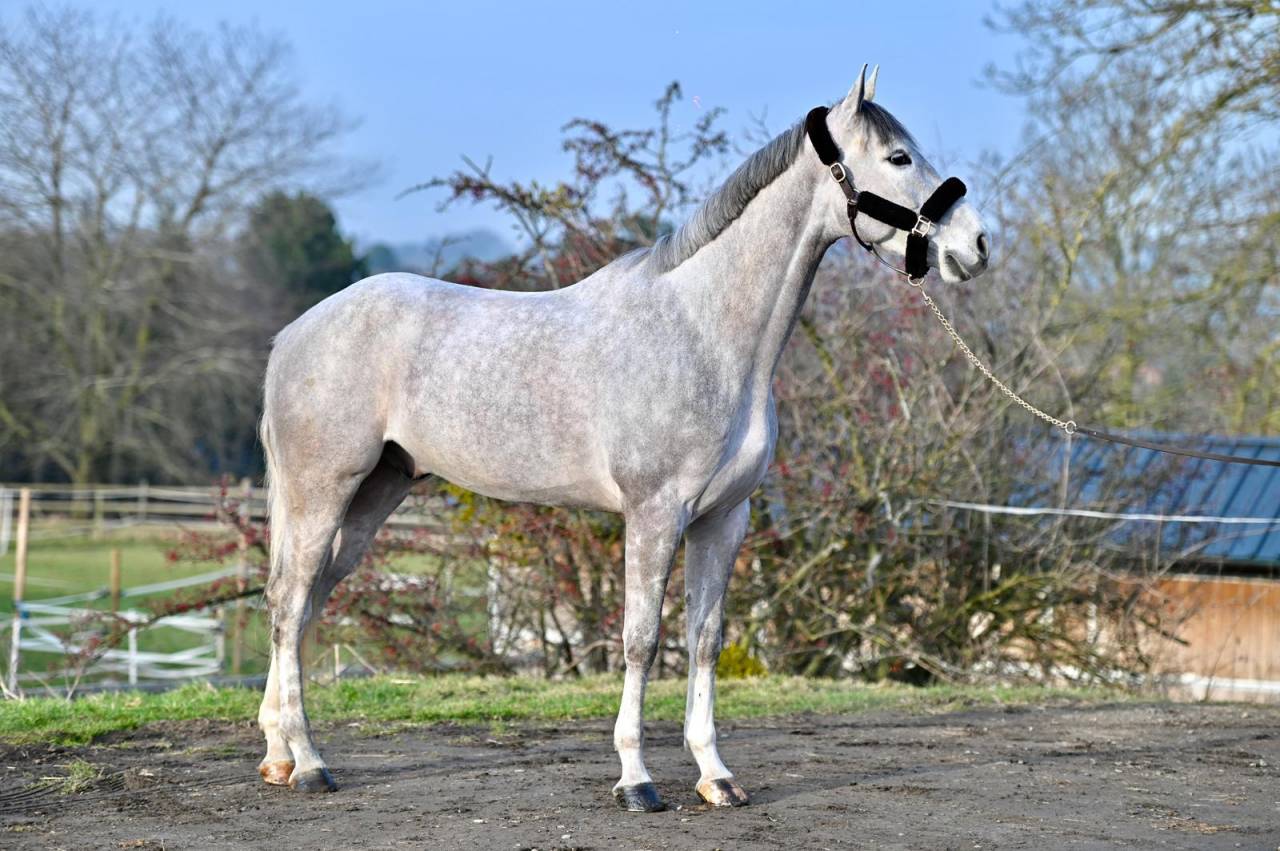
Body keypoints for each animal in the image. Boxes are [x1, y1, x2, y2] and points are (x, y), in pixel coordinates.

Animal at [255, 65, 990, 812]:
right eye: (897, 157)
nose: (975, 245)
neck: (704, 334)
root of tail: (295, 334)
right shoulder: (655, 512)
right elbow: (642, 640)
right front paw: (636, 779)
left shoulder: (724, 519)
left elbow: (704, 640)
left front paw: (715, 774)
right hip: (323, 491)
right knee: (288, 607)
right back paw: (310, 763)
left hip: (374, 495)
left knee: (304, 604)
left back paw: (280, 756)